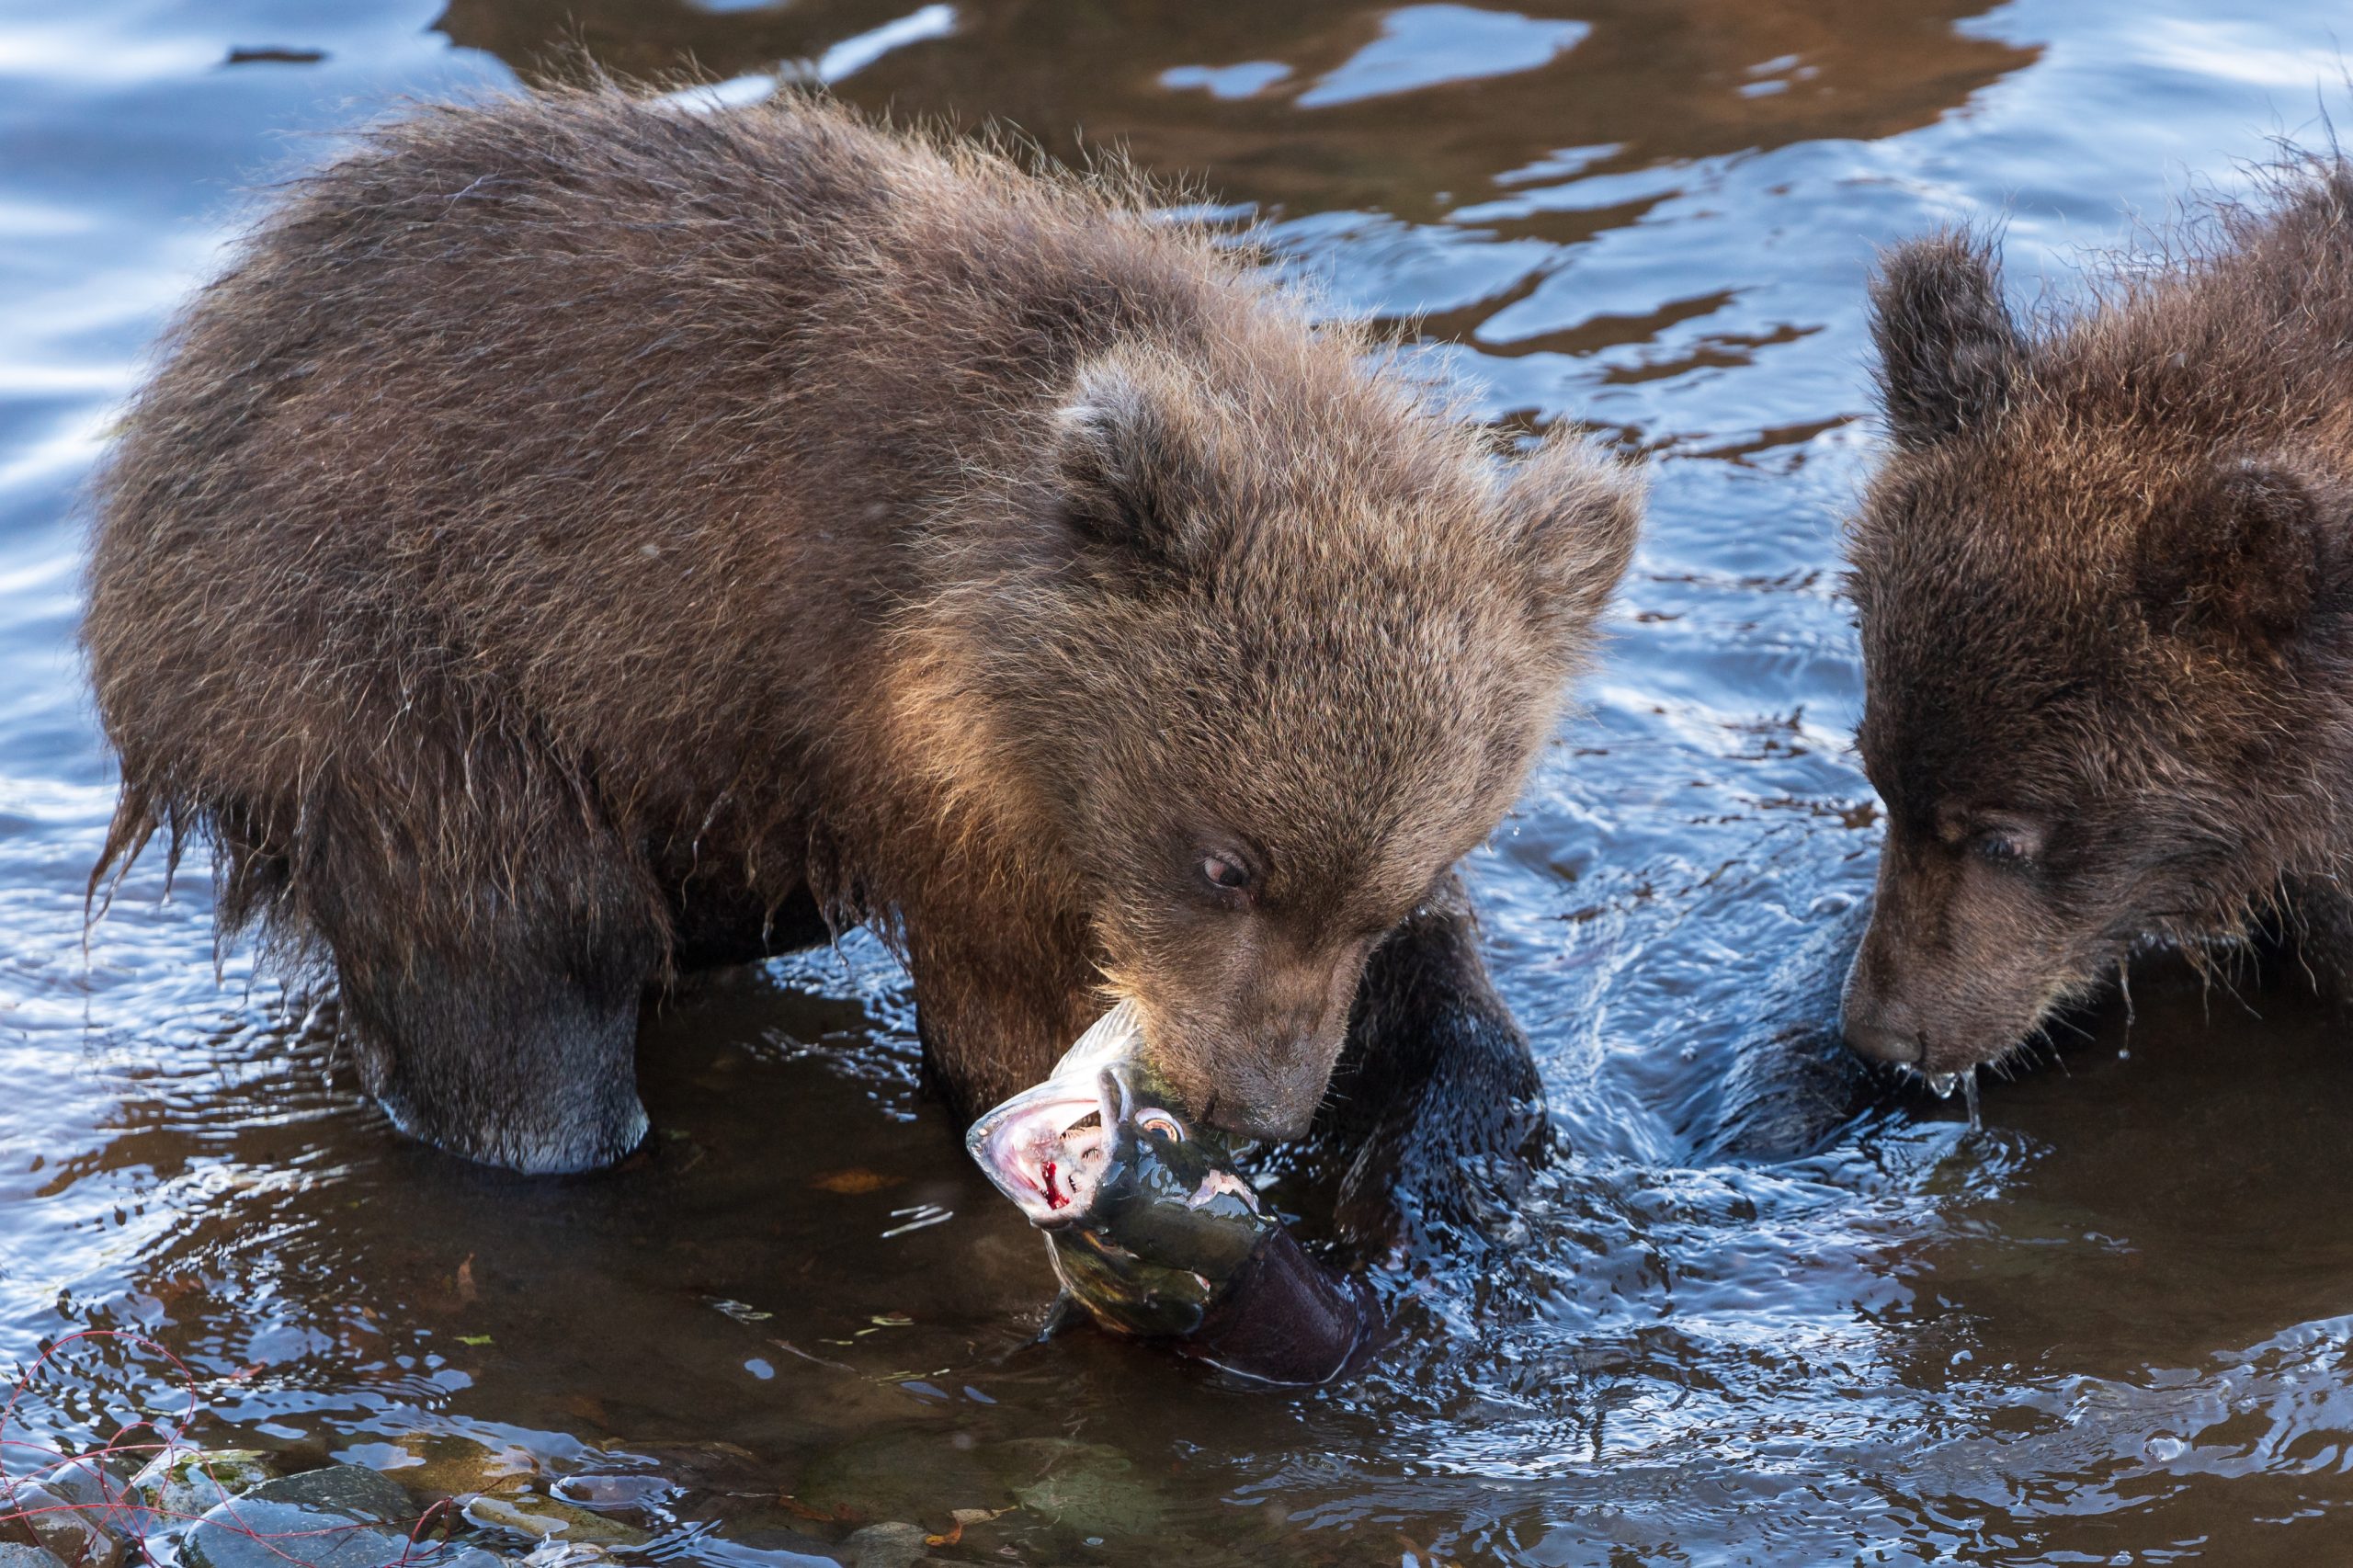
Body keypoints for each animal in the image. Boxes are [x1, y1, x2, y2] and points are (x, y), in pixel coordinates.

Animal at [84, 88, 1641, 1190]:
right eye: (1224, 860)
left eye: (1391, 878)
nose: (1249, 1103)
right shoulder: (920, 764)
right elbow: (998, 1016)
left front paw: (1452, 1124)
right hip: (384, 677)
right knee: (513, 957)